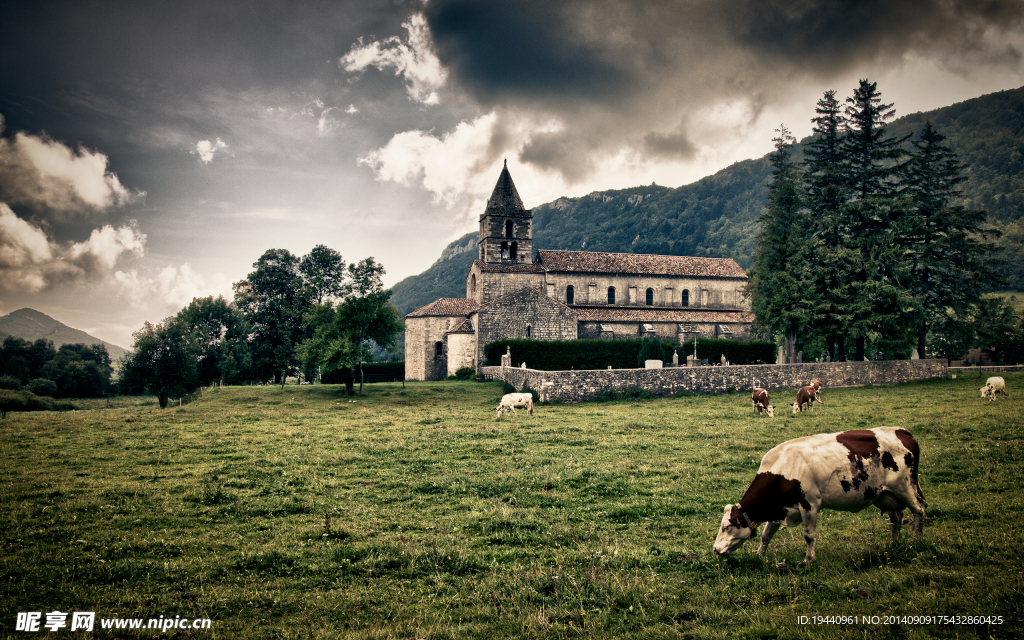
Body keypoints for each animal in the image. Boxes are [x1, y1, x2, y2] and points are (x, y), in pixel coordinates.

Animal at [712, 425, 929, 561]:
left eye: (726, 527)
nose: (715, 549)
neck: (784, 467)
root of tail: (902, 431)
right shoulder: (779, 508)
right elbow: (766, 535)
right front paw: (759, 555)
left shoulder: (810, 504)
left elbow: (809, 535)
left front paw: (809, 559)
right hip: (885, 494)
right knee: (896, 517)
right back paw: (893, 544)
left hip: (905, 487)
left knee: (919, 509)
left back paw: (916, 540)